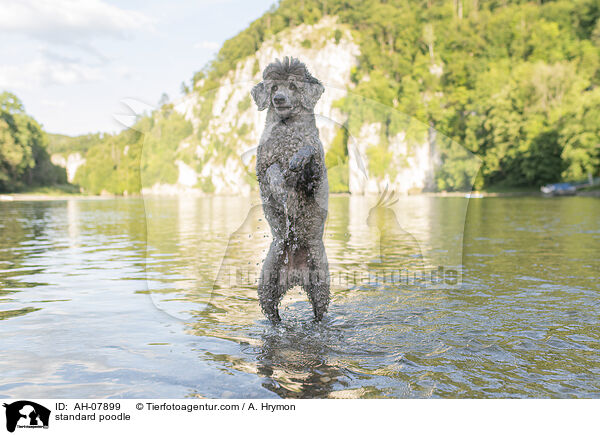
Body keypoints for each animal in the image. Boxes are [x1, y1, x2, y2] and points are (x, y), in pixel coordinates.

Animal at [251, 57, 330, 324]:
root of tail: (295, 275)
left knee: (318, 313)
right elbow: (273, 170)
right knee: (273, 315)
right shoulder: (262, 170)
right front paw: (281, 186)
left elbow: (308, 152)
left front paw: (298, 159)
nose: (278, 99)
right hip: (268, 282)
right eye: (274, 87)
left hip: (320, 282)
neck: (287, 131)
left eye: (293, 86)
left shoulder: (314, 178)